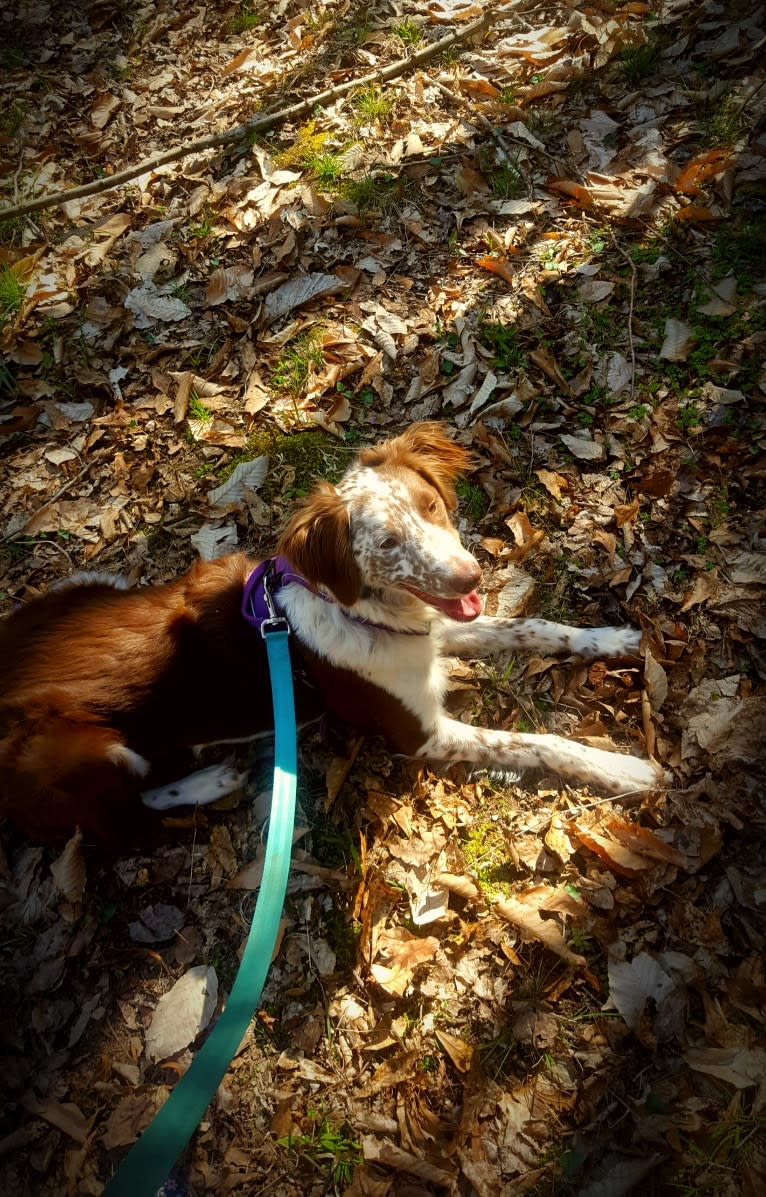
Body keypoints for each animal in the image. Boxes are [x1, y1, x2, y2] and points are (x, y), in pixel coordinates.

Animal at [0, 426, 665, 847]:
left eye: (430, 506)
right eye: (386, 543)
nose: (470, 576)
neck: (361, 613)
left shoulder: (433, 632)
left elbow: (534, 625)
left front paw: (610, 640)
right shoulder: (420, 735)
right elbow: (537, 743)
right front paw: (627, 769)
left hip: (92, 582)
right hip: (83, 748)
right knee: (126, 821)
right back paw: (210, 780)